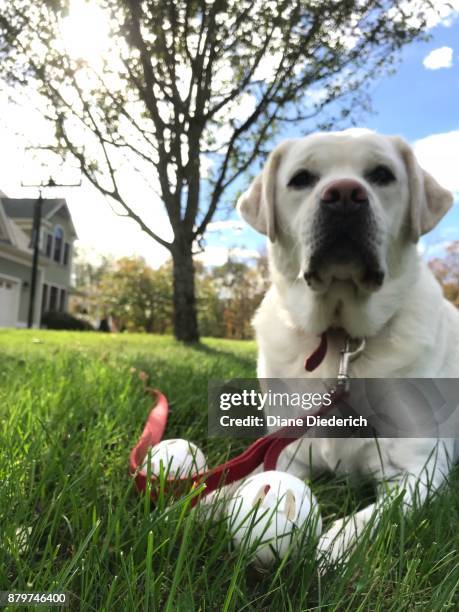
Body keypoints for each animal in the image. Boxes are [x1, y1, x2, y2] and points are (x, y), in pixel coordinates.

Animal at [237, 129, 459, 564]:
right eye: (301, 179)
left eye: (382, 174)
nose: (343, 194)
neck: (341, 340)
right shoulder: (286, 450)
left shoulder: (419, 469)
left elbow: (371, 519)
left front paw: (332, 547)